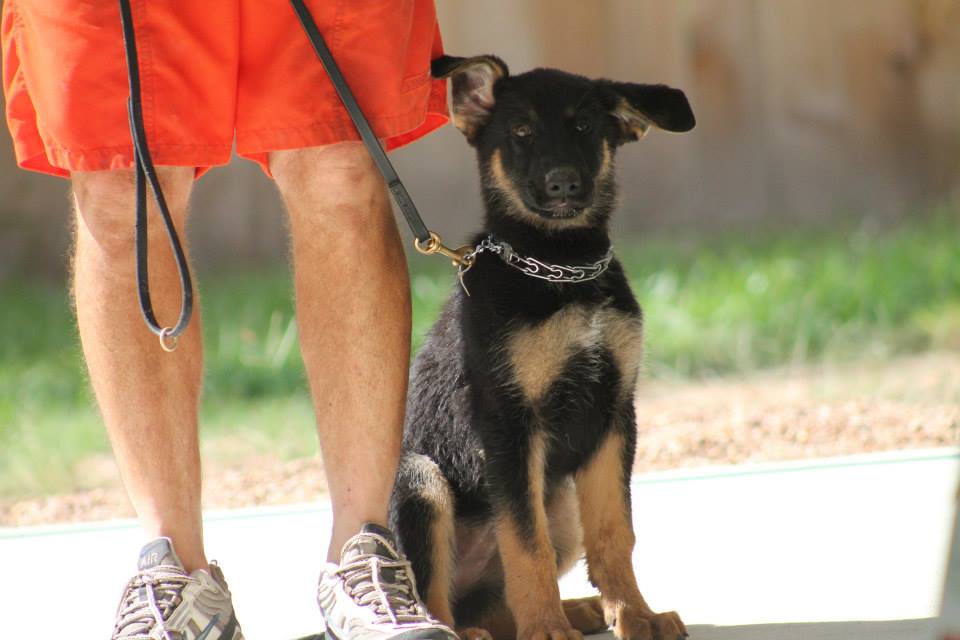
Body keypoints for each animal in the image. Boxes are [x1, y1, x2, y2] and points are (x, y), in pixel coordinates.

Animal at [389, 54, 696, 640]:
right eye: (521, 132)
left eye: (585, 127)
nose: (563, 184)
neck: (562, 268)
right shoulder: (509, 424)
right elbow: (525, 545)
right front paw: (548, 631)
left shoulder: (613, 414)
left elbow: (615, 533)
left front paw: (635, 615)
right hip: (419, 479)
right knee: (434, 596)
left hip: (563, 503)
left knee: (495, 599)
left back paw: (579, 609)